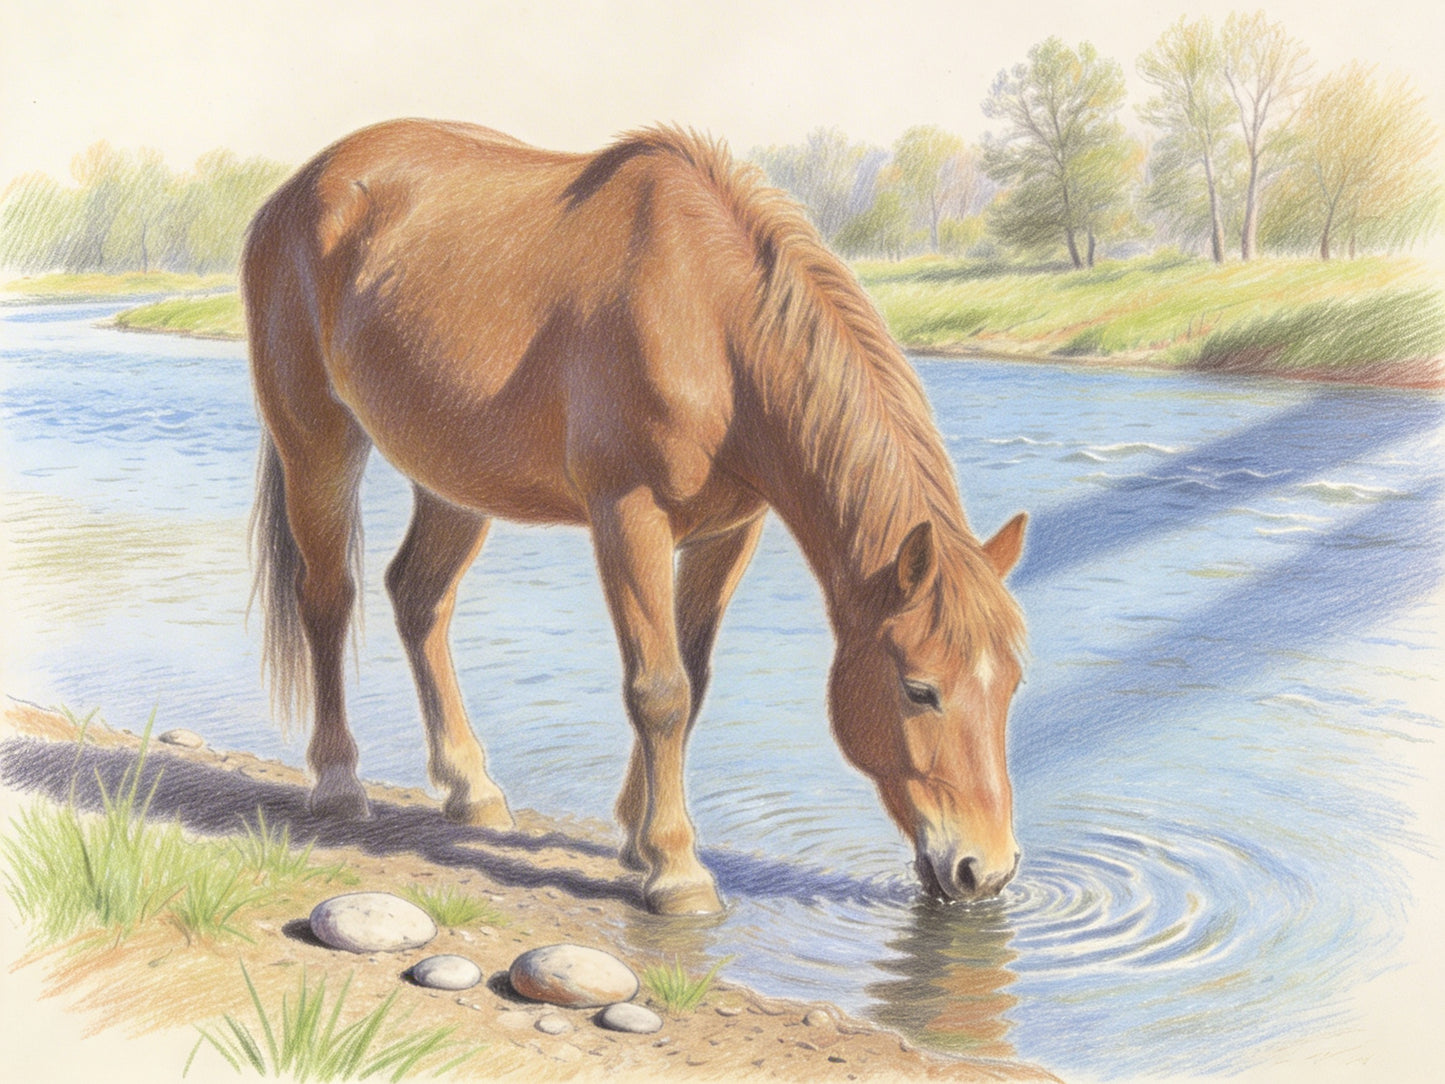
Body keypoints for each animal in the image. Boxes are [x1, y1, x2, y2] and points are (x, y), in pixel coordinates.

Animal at [243, 119, 1029, 915]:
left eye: (1012, 686)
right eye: (920, 690)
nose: (984, 871)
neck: (713, 323)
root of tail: (301, 187)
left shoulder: (729, 533)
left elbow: (693, 675)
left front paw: (636, 834)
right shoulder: (629, 517)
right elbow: (659, 689)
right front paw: (677, 870)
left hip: (453, 480)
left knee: (419, 598)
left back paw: (471, 790)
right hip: (318, 443)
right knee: (328, 597)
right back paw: (338, 782)